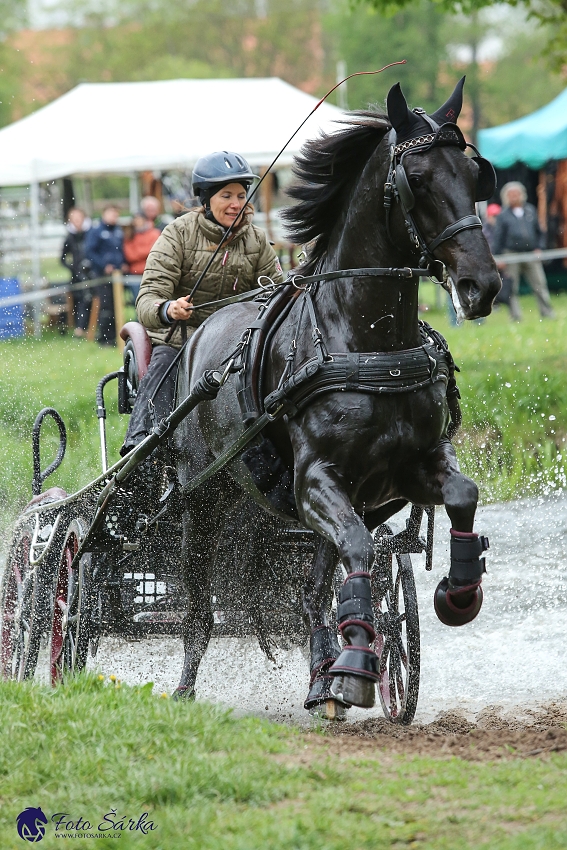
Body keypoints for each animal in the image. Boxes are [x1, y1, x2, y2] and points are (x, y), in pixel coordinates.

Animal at [171, 79, 500, 712]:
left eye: (477, 175)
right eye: (416, 179)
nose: (484, 285)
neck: (366, 342)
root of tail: (202, 329)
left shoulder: (406, 469)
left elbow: (462, 494)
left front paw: (457, 594)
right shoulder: (316, 479)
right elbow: (360, 550)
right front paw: (353, 665)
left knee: (313, 587)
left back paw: (324, 672)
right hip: (203, 498)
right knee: (199, 604)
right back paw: (187, 686)